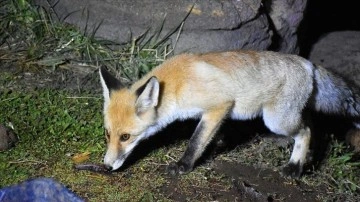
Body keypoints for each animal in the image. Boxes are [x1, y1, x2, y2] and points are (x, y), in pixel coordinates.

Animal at [98, 50, 360, 177]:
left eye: (126, 137)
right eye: (108, 134)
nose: (107, 167)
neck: (177, 84)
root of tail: (308, 63)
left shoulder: (219, 106)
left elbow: (195, 142)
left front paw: (183, 166)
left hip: (277, 120)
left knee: (306, 131)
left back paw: (295, 167)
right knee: (310, 125)